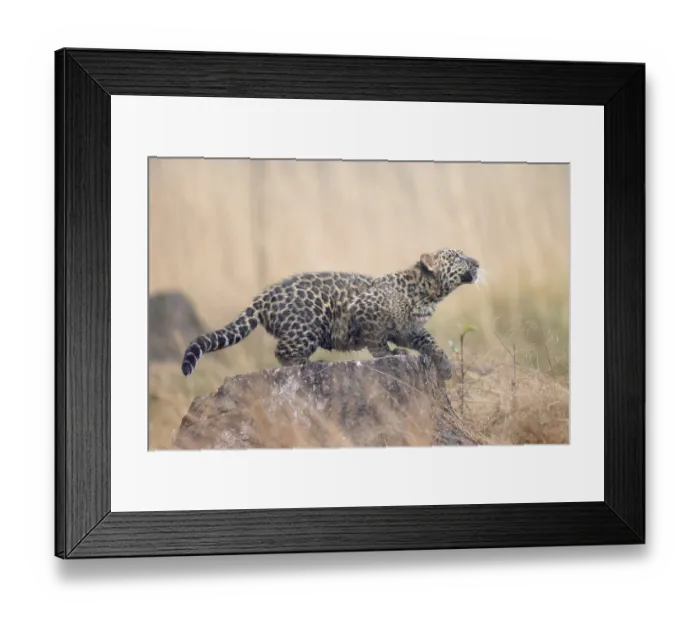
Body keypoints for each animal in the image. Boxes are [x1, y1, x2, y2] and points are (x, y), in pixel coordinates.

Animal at [181, 248, 480, 381]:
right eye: (457, 257)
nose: (477, 262)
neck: (426, 294)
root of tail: (264, 297)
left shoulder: (410, 329)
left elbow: (430, 342)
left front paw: (445, 366)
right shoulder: (367, 313)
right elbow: (377, 342)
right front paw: (390, 355)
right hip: (310, 323)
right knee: (283, 352)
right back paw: (308, 363)